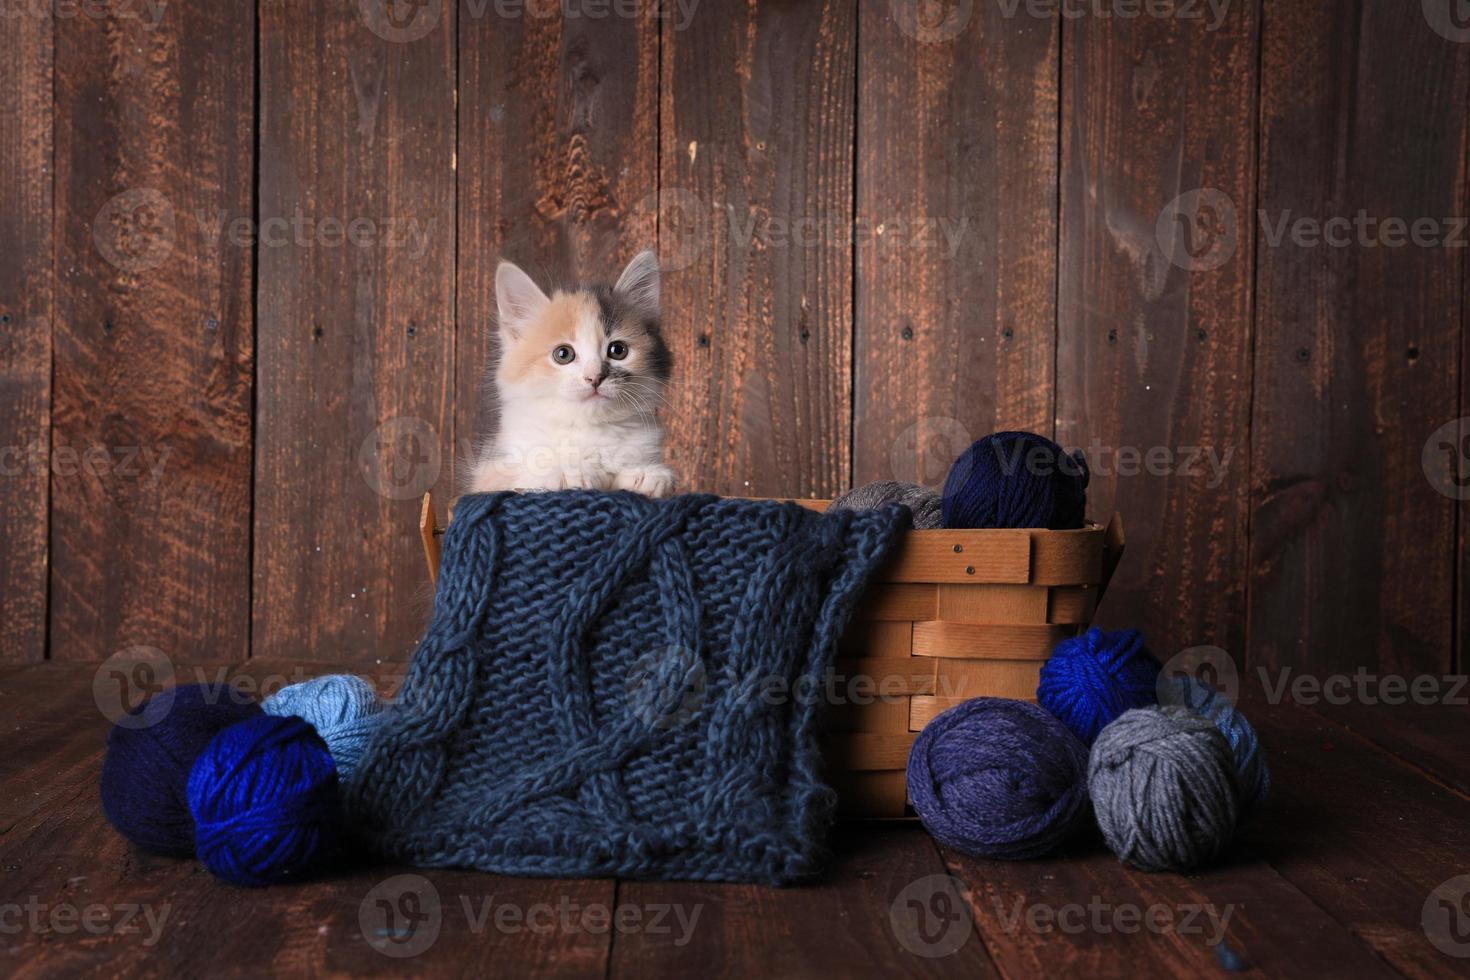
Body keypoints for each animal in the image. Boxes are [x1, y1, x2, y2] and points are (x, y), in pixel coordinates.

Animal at [467, 252, 679, 499]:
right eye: (563, 354)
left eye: (618, 350)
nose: (595, 377)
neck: (589, 429)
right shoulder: (490, 472)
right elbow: (525, 476)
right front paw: (571, 472)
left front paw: (647, 474)